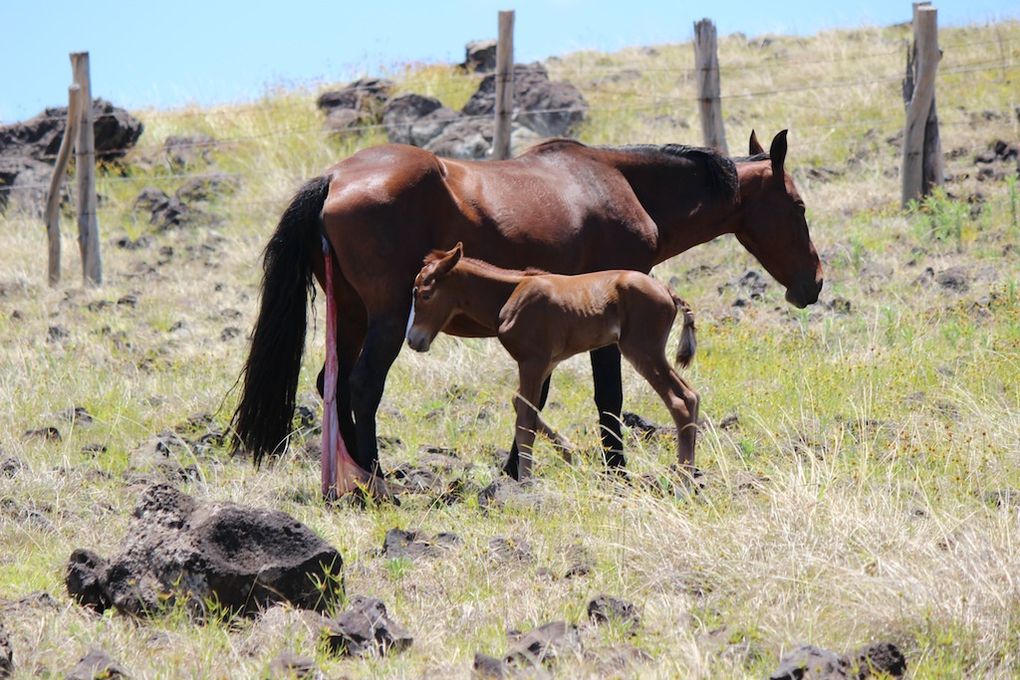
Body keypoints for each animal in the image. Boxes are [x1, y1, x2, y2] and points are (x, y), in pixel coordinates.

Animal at [405, 243, 701, 479]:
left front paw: (525, 479)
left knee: (680, 400)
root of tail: (666, 290)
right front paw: (568, 452)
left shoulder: (532, 362)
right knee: (692, 395)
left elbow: (525, 420)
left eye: (425, 294)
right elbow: (522, 404)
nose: (414, 340)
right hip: (651, 352)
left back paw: (683, 478)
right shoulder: (547, 363)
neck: (511, 293)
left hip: (642, 349)